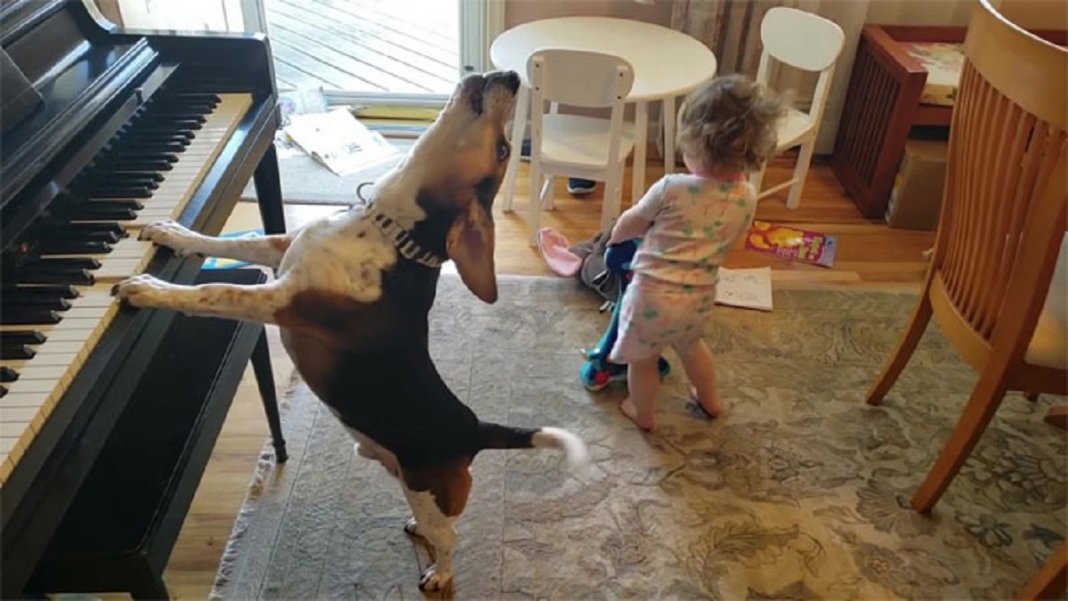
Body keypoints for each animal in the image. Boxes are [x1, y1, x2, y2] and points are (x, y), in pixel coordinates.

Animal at [116, 71, 593, 593]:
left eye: (505, 149)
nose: (512, 76)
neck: (387, 228)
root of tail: (471, 428)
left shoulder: (281, 301)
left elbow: (213, 292)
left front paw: (149, 289)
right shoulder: (281, 250)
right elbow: (226, 244)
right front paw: (173, 234)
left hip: (428, 489)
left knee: (450, 538)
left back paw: (439, 573)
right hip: (406, 480)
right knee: (435, 524)